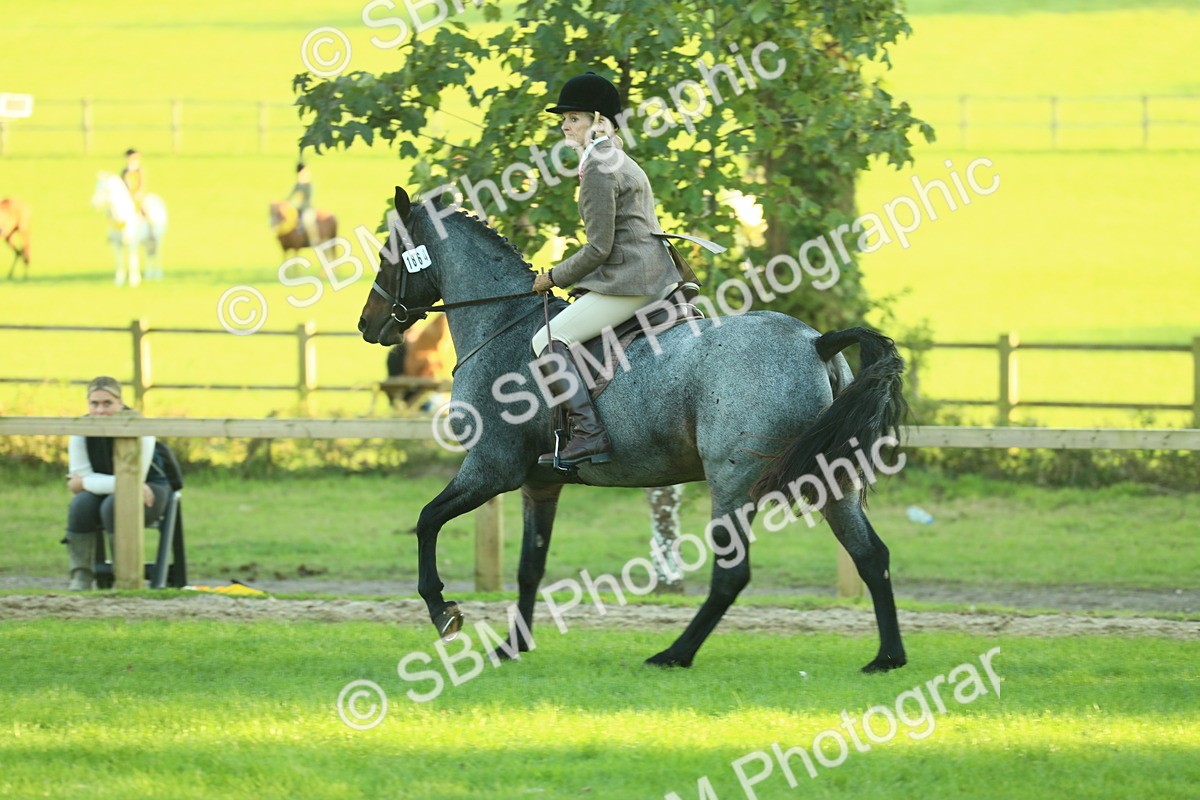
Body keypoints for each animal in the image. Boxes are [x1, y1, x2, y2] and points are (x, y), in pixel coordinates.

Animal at [357, 187, 909, 673]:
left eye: (387, 254)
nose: (366, 325)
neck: (503, 325)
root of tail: (817, 341)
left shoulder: (491, 469)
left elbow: (427, 520)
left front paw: (443, 612)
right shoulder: (540, 483)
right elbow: (529, 567)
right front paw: (510, 647)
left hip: (732, 481)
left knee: (732, 574)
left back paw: (674, 654)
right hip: (830, 480)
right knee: (871, 555)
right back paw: (886, 658)